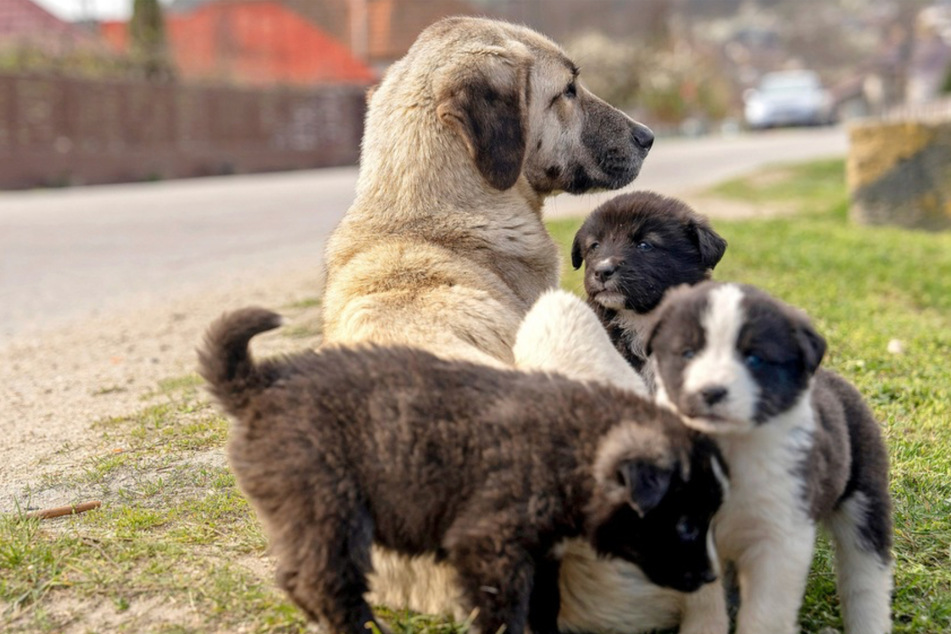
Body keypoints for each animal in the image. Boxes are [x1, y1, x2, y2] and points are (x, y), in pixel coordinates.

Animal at [197, 306, 724, 632]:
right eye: (684, 525)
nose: (710, 579)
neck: (572, 445)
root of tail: (260, 384)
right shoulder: (488, 547)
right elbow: (503, 614)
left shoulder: (542, 551)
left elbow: (544, 607)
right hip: (327, 508)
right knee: (326, 583)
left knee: (298, 579)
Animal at [648, 282, 892, 632]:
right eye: (688, 352)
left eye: (754, 358)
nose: (711, 392)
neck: (728, 450)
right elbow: (705, 603)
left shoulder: (781, 537)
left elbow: (766, 613)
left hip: (864, 497)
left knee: (867, 574)